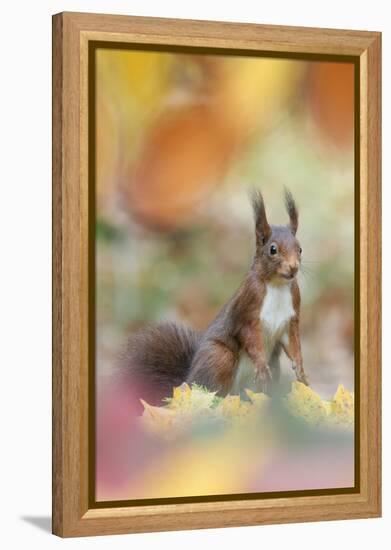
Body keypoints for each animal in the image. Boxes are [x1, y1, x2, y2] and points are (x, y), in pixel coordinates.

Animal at [121, 191, 310, 406]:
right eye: (273, 249)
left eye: (300, 249)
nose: (293, 268)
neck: (277, 286)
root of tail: (186, 382)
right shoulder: (248, 307)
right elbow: (250, 337)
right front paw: (262, 367)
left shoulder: (291, 316)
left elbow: (293, 343)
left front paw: (301, 370)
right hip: (220, 357)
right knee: (214, 387)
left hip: (271, 368)